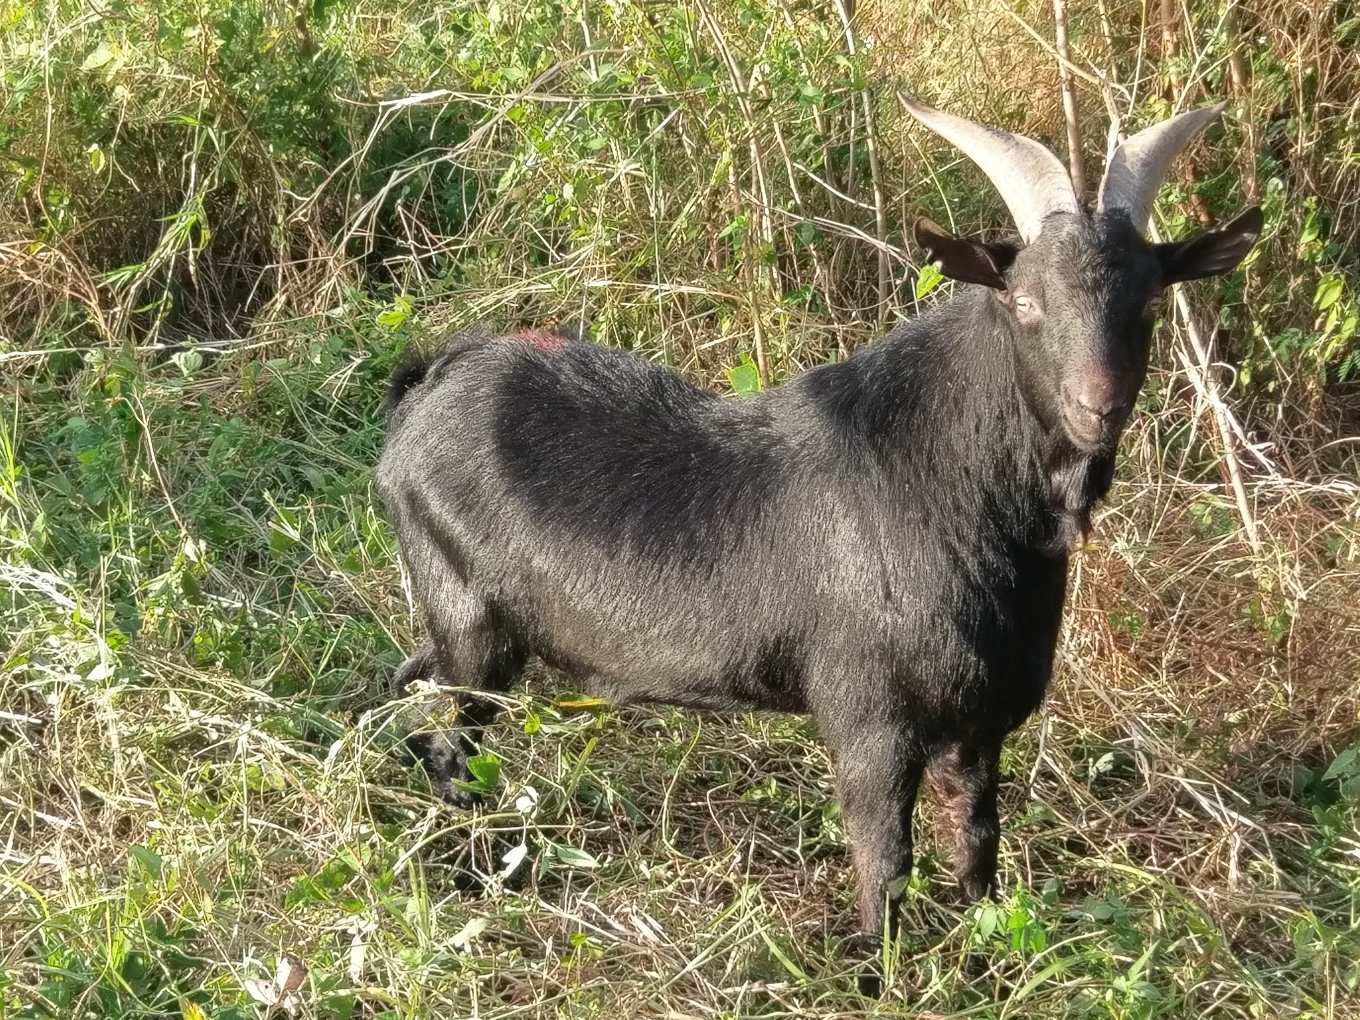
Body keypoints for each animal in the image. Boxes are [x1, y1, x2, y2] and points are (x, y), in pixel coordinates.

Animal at [375, 102, 1262, 984]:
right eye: (1024, 301)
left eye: (1150, 298)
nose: (1097, 406)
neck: (953, 488)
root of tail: (428, 381)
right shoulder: (870, 719)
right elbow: (884, 858)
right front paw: (876, 972)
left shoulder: (981, 720)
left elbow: (978, 844)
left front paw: (988, 954)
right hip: (473, 627)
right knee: (450, 741)